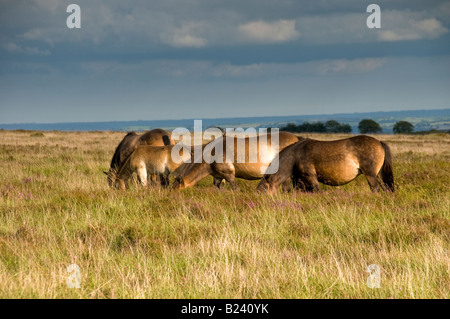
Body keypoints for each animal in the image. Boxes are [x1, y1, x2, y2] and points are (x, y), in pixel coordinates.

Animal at [256, 136, 394, 194]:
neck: (295, 156)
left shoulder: (311, 177)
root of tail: (379, 142)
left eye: (263, 191)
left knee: (375, 189)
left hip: (370, 175)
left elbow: (318, 191)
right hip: (377, 175)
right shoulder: (300, 181)